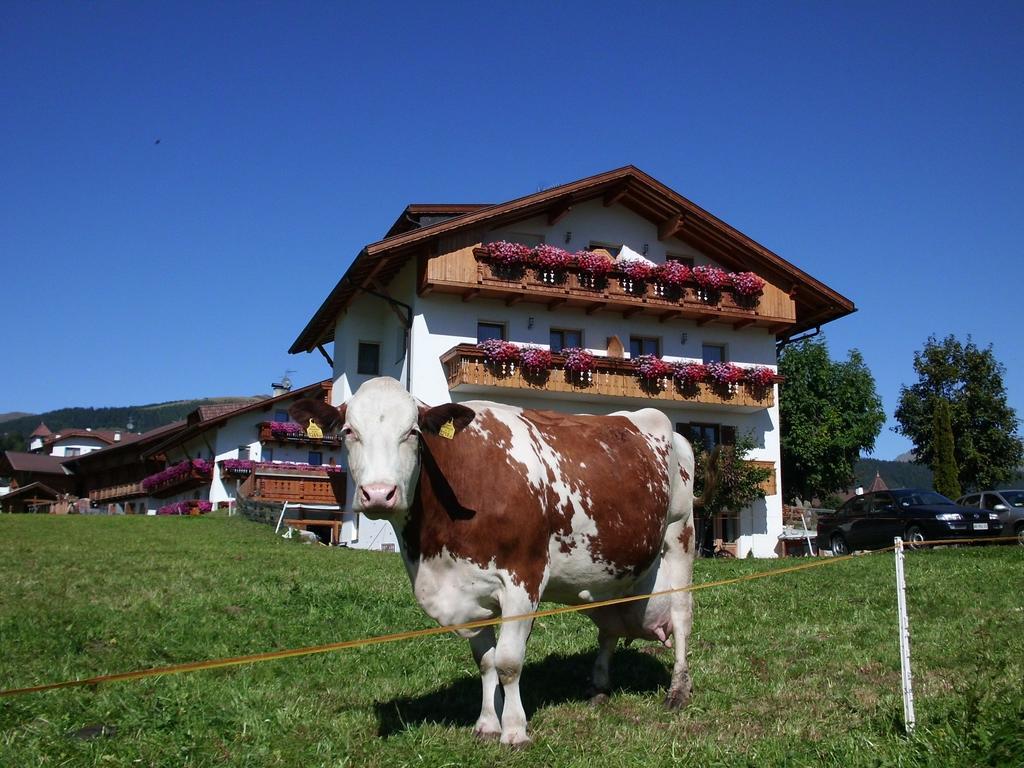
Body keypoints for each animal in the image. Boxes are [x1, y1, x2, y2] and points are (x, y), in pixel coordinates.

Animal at [292, 378, 700, 745]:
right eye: (349, 431)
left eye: (412, 432)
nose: (378, 494)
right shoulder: (467, 591)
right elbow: (486, 663)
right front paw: (488, 724)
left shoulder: (523, 579)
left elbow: (507, 662)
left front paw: (515, 730)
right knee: (609, 629)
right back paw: (599, 685)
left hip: (680, 533)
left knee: (681, 615)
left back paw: (678, 690)